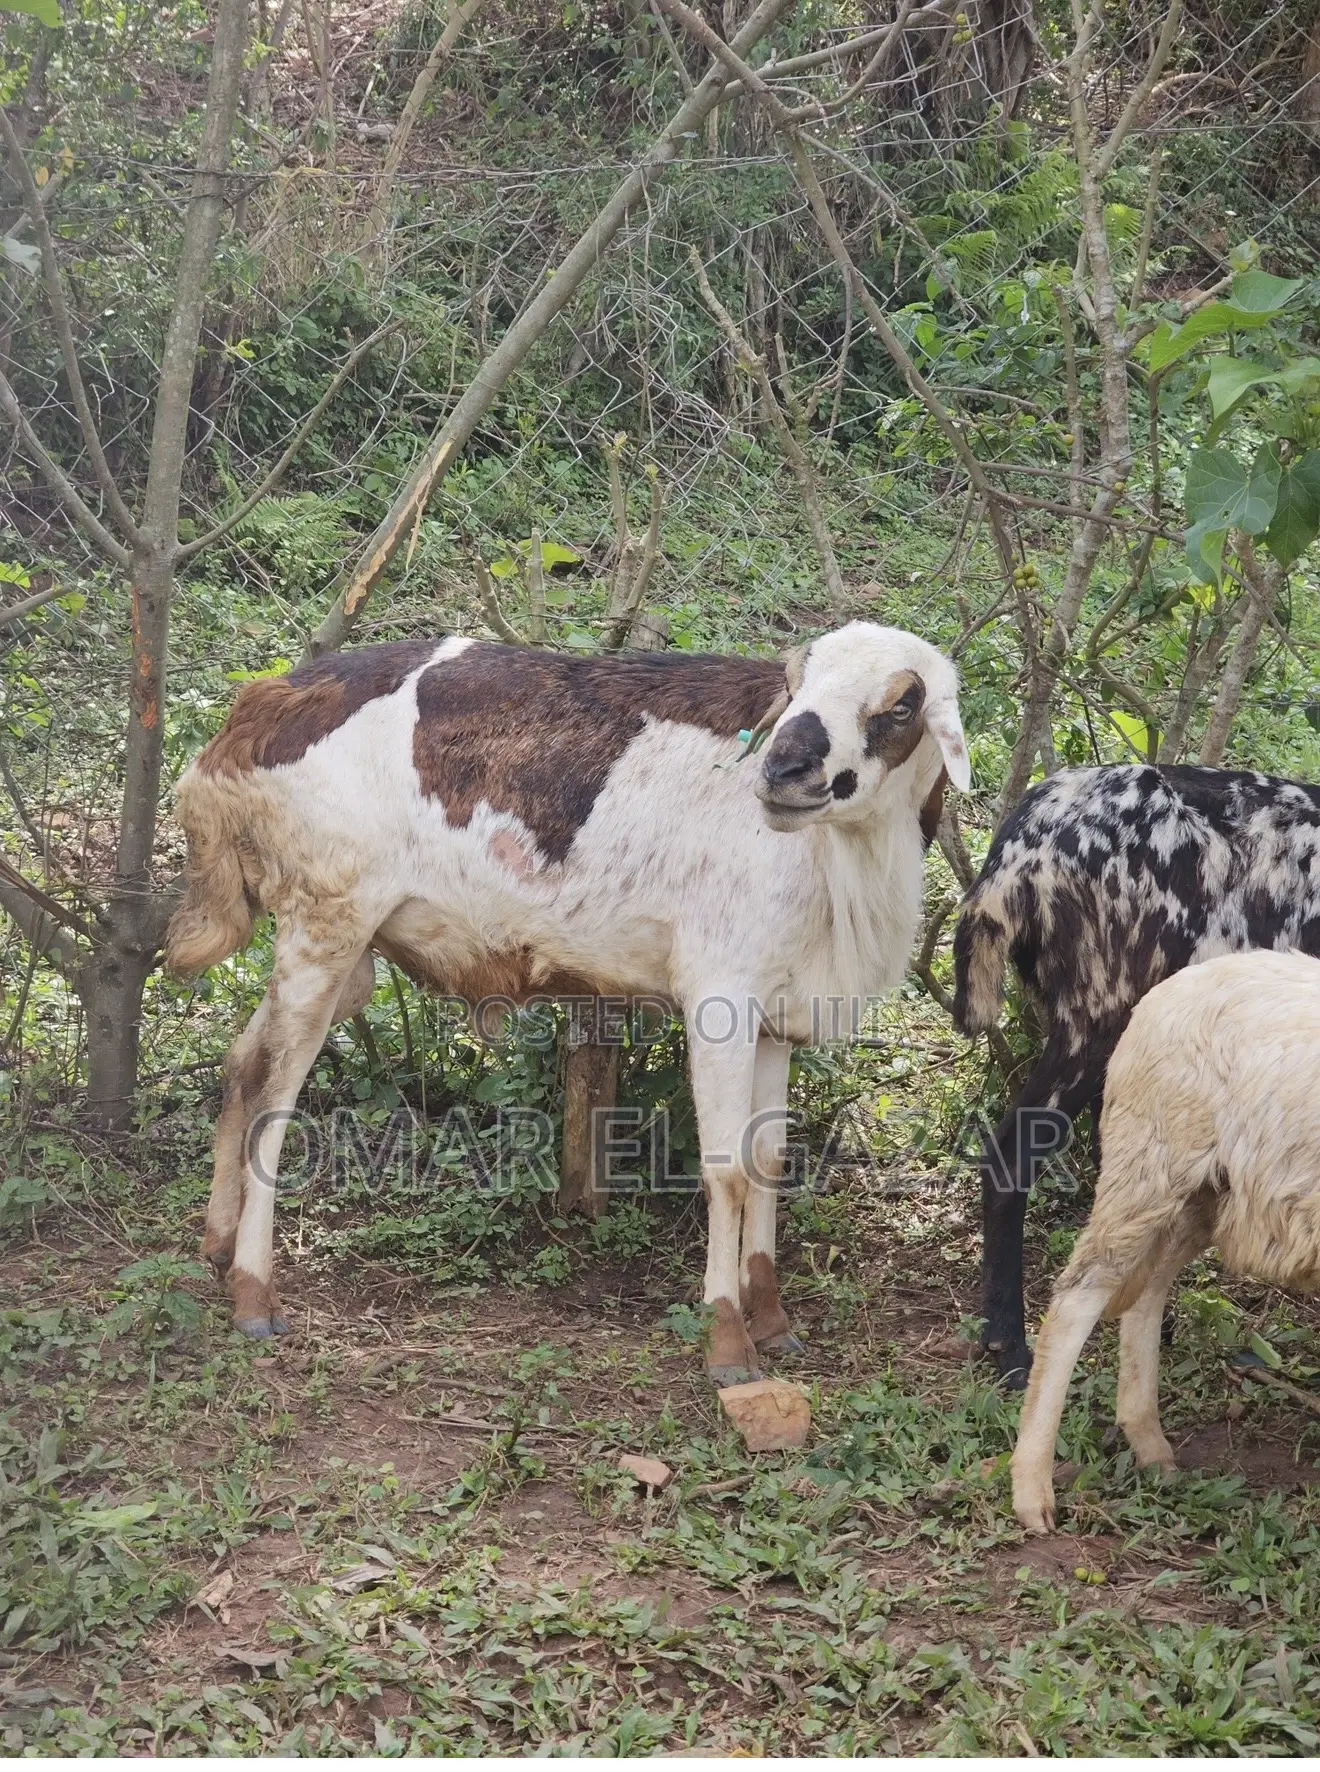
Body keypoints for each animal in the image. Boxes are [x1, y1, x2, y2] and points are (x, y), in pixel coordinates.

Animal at [166, 623, 970, 1383]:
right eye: (799, 682)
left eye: (903, 703)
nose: (783, 772)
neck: (841, 862)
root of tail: (258, 710)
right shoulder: (721, 999)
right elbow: (727, 1172)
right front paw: (728, 1344)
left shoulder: (778, 1015)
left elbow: (768, 1162)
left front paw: (772, 1320)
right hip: (325, 920)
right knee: (273, 1093)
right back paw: (253, 1293)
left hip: (345, 956)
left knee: (243, 1062)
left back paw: (217, 1248)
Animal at [1012, 948, 1320, 1534]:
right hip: (1151, 1160)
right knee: (1079, 1296)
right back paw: (1032, 1488)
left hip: (1206, 1195)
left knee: (1147, 1291)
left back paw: (1150, 1447)